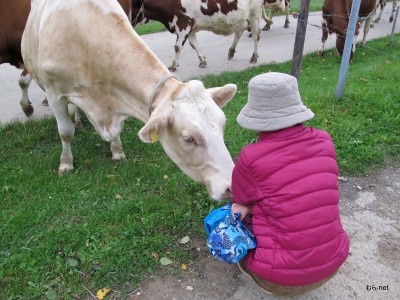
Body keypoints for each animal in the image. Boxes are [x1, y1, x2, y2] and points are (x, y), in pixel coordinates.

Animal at [21, 0, 238, 202]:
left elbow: (118, 131)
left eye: (223, 125)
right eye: (188, 138)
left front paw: (117, 151)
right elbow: (65, 132)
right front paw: (66, 164)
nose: (231, 185)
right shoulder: (54, 94)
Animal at [131, 0, 266, 71]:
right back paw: (231, 51)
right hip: (241, 18)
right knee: (239, 32)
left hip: (254, 14)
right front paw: (202, 61)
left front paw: (173, 66)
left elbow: (178, 47)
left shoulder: (183, 24)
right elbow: (194, 45)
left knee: (256, 36)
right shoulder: (190, 29)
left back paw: (254, 57)